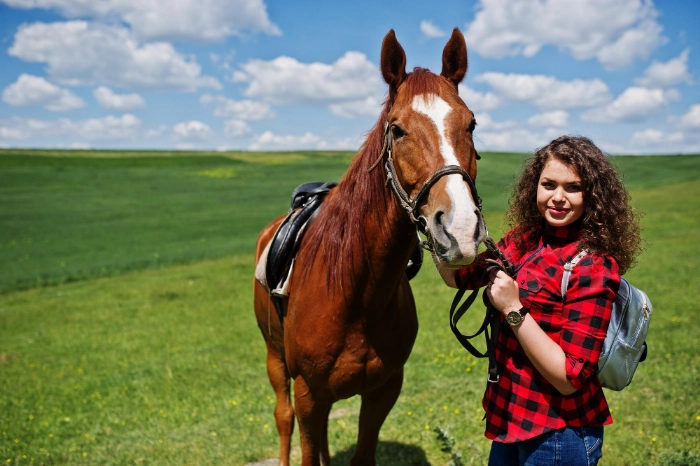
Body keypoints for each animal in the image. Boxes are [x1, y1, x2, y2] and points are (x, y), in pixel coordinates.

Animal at [253, 28, 484, 466]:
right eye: (397, 130)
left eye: (472, 124)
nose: (460, 229)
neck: (356, 292)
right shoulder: (308, 393)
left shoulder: (383, 391)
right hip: (276, 359)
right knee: (282, 417)